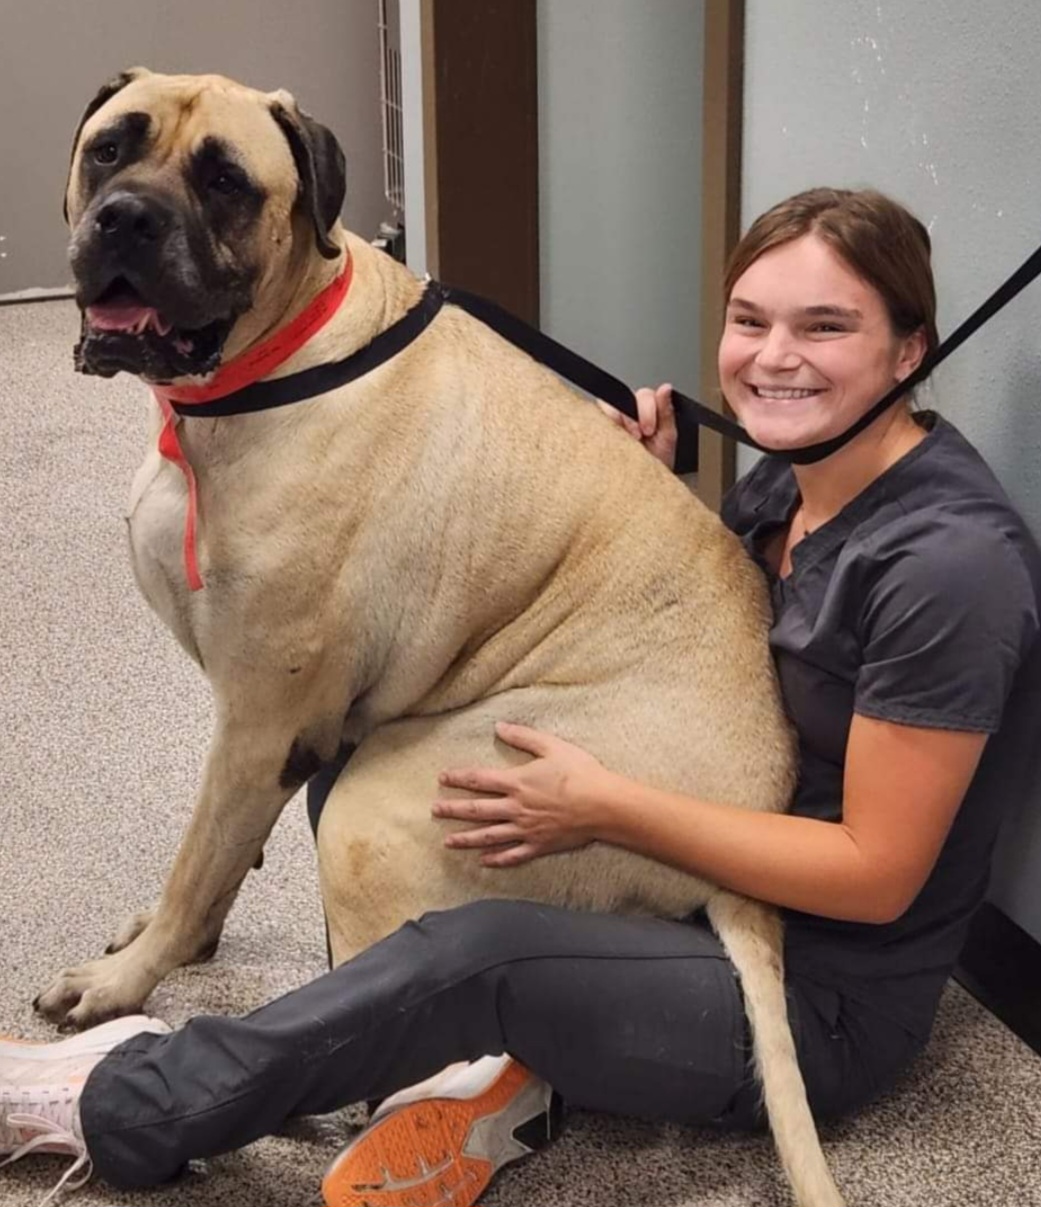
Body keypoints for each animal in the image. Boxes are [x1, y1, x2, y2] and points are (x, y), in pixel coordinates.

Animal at [40, 73, 850, 1207]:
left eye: (225, 180)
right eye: (112, 148)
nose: (125, 219)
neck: (270, 362)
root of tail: (750, 854)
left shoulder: (262, 723)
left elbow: (200, 861)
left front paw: (126, 981)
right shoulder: (262, 740)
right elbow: (212, 860)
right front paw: (168, 939)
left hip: (396, 810)